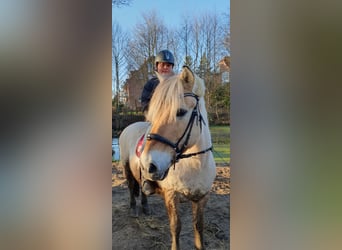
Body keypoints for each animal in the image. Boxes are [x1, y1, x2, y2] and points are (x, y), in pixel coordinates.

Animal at [119, 65, 216, 249]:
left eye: (180, 112)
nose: (149, 164)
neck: (195, 164)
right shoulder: (171, 195)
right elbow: (175, 227)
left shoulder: (202, 197)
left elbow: (198, 228)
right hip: (127, 167)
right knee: (131, 186)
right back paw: (134, 208)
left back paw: (145, 207)